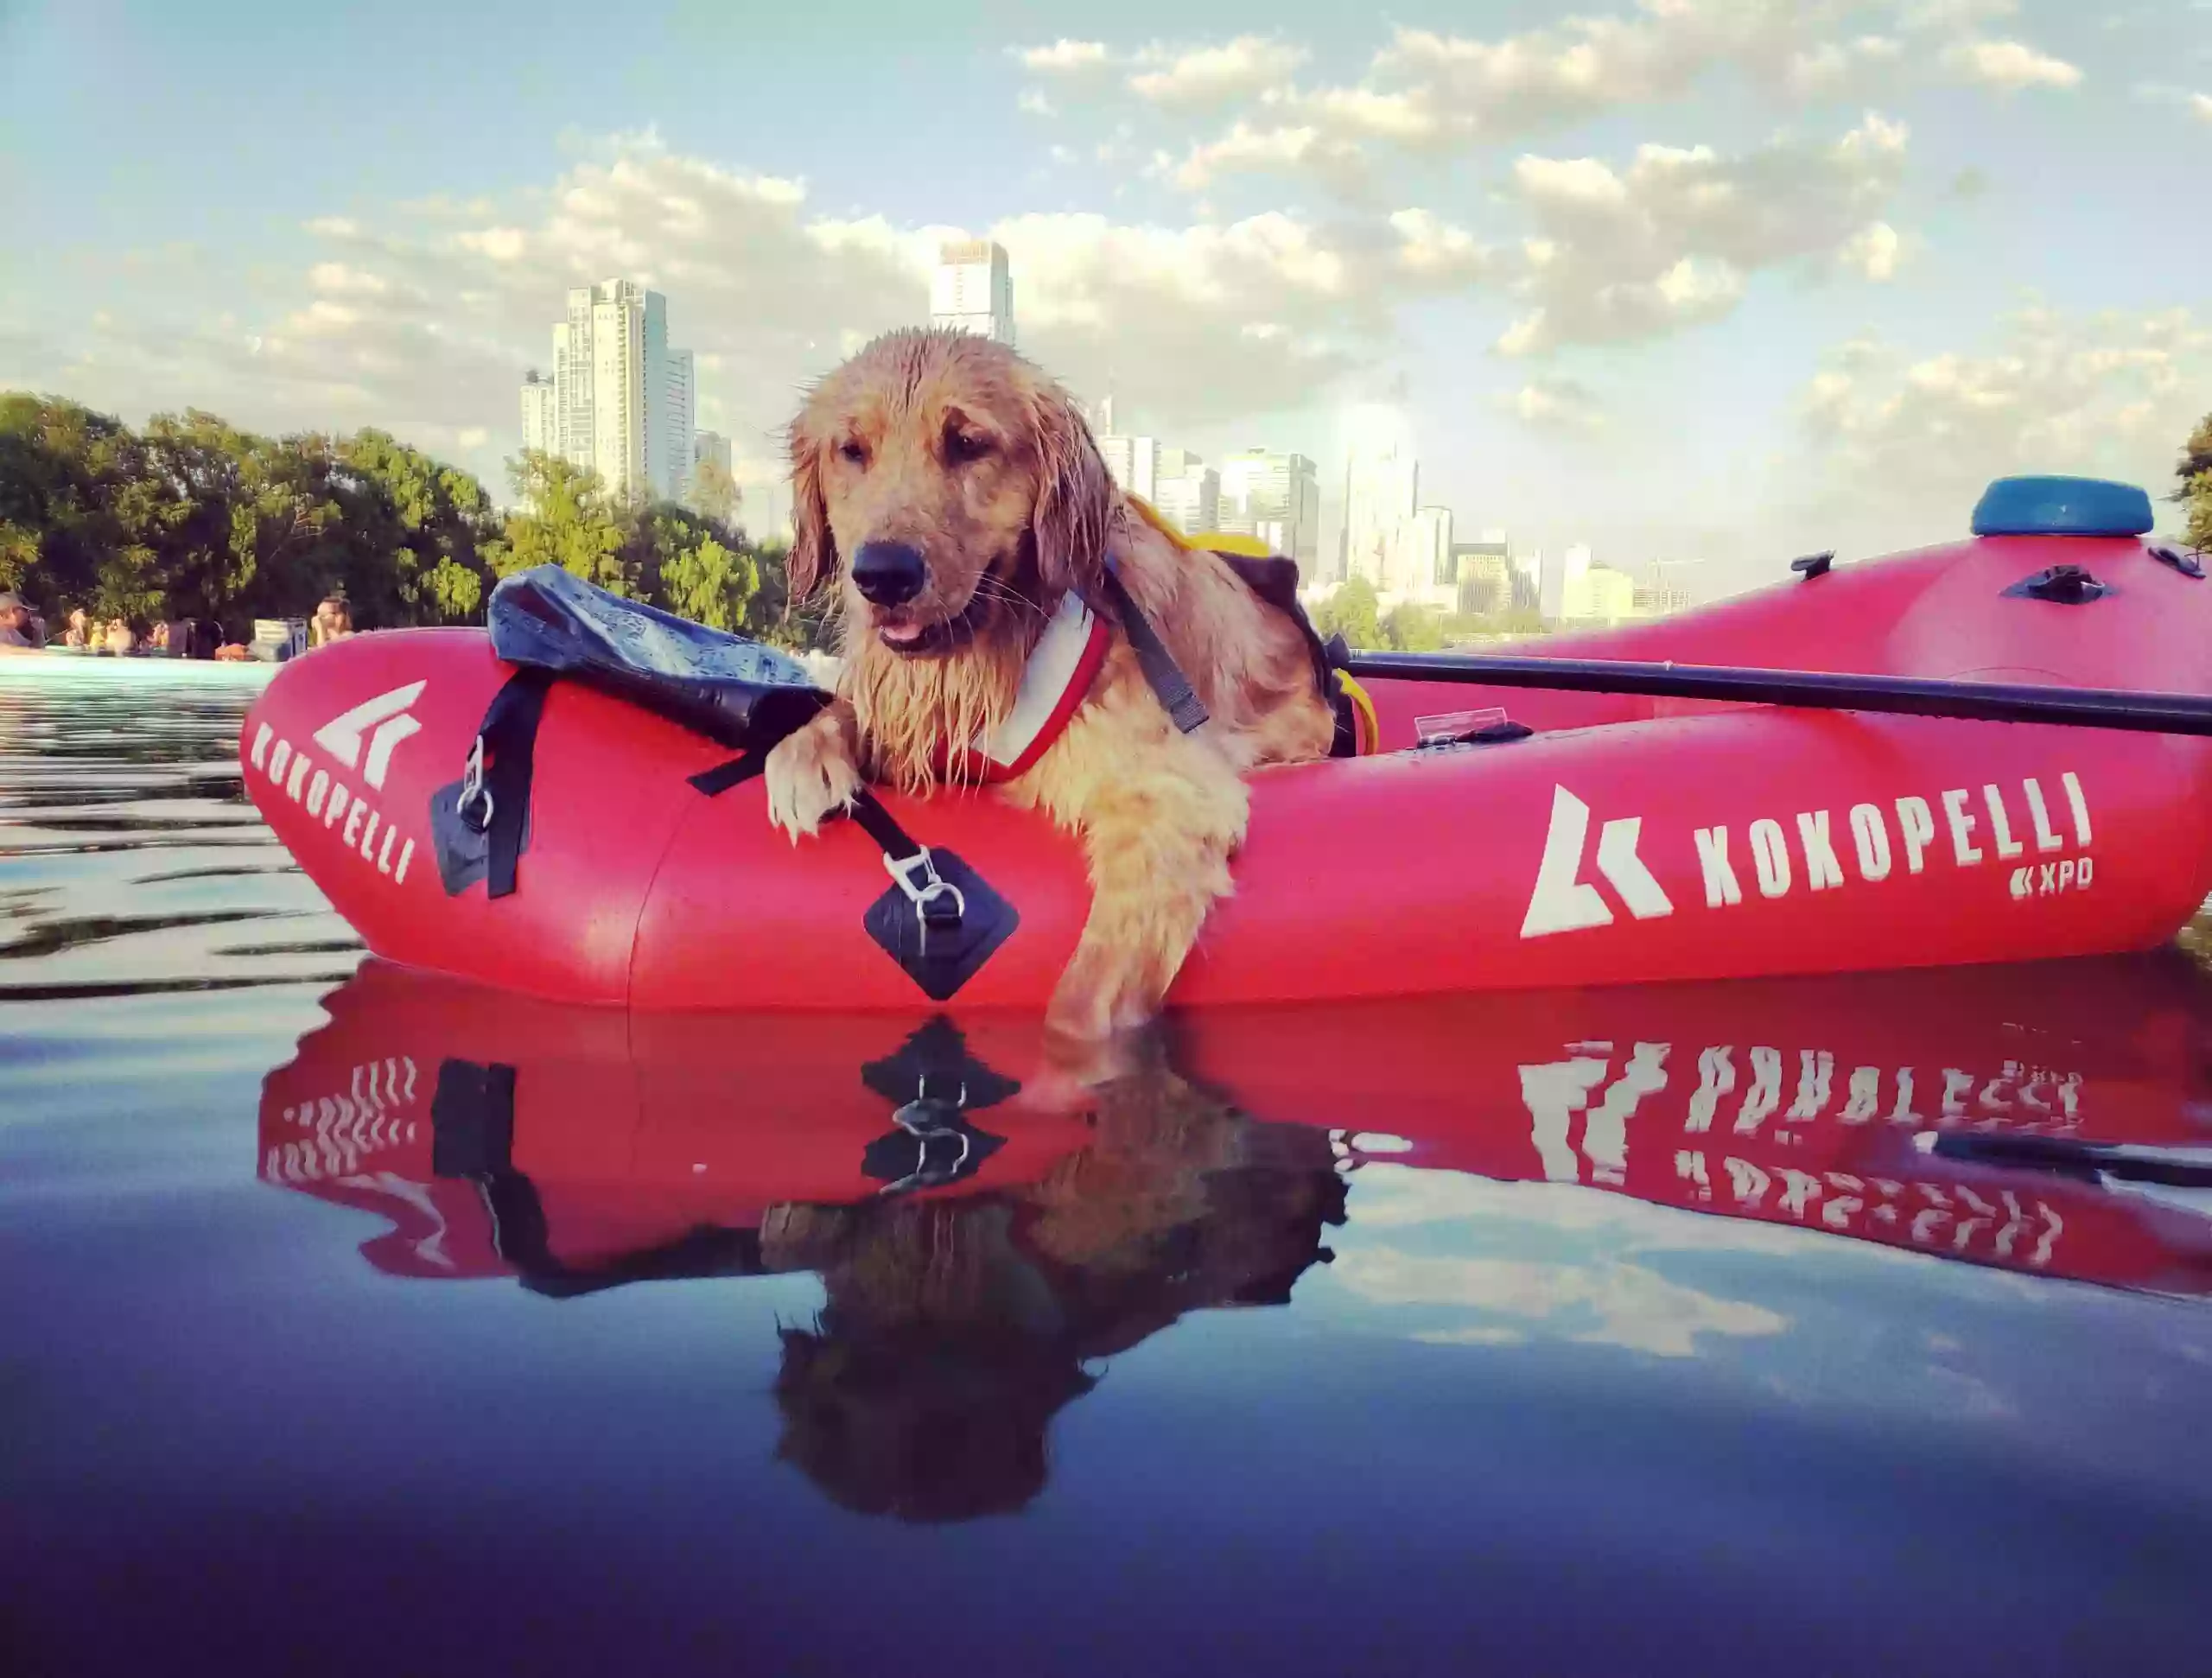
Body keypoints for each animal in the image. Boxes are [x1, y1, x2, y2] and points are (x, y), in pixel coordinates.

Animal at [760, 327, 1327, 1039]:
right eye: (852, 450)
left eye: (967, 443)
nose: (883, 576)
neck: (996, 652)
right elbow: (850, 709)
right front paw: (803, 754)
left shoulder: (1171, 794)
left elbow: (1088, 1000)